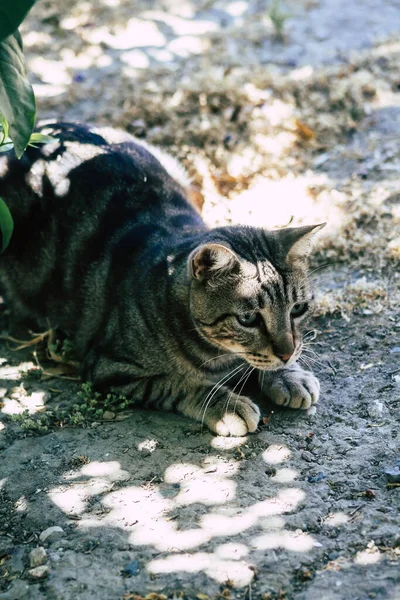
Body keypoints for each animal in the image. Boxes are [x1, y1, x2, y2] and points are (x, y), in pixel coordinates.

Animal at [0, 122, 322, 436]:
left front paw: (288, 375)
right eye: (248, 319)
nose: (287, 354)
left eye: (298, 309)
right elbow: (181, 384)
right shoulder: (110, 368)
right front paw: (227, 406)